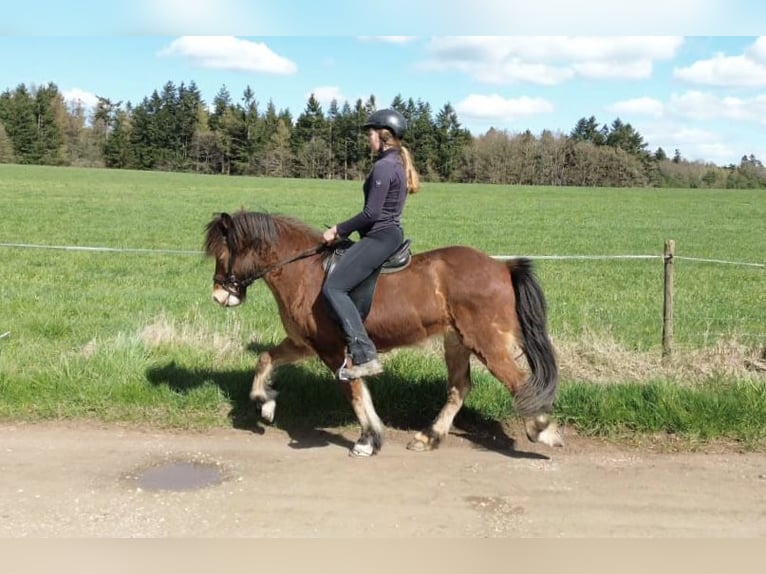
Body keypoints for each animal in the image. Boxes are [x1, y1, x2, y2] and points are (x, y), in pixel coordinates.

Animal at [204, 210, 563, 457]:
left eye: (222, 254)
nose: (220, 296)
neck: (304, 271)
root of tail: (502, 266)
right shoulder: (304, 344)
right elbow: (265, 359)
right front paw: (265, 403)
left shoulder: (333, 351)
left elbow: (356, 394)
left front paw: (368, 439)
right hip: (457, 341)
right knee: (459, 388)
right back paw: (428, 437)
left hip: (486, 342)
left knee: (519, 383)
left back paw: (542, 430)